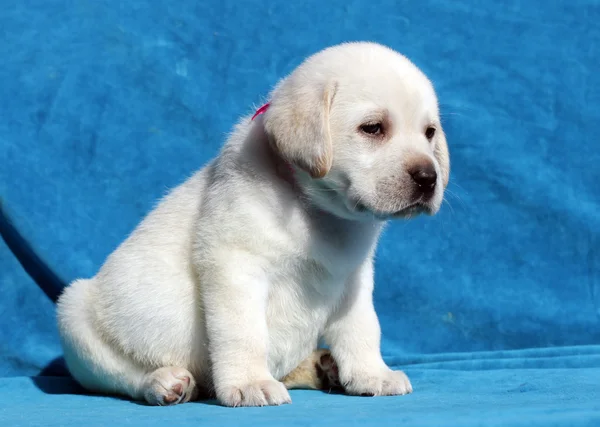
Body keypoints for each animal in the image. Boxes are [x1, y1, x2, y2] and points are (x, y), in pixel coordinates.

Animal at [57, 42, 450, 408]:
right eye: (373, 128)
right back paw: (163, 381)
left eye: (429, 132)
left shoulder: (354, 279)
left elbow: (363, 328)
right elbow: (244, 333)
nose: (429, 178)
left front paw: (372, 374)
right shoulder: (235, 267)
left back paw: (321, 366)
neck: (319, 211)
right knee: (124, 376)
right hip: (74, 314)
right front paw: (249, 383)